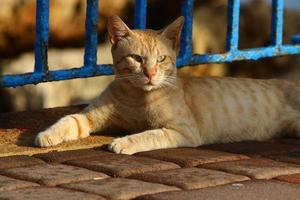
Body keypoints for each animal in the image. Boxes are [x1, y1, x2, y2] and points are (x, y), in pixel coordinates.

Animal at [34, 15, 300, 155]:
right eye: (137, 58)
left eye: (161, 59)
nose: (150, 73)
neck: (137, 99)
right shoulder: (88, 117)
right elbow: (68, 120)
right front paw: (46, 135)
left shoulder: (182, 131)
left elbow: (148, 134)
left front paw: (123, 142)